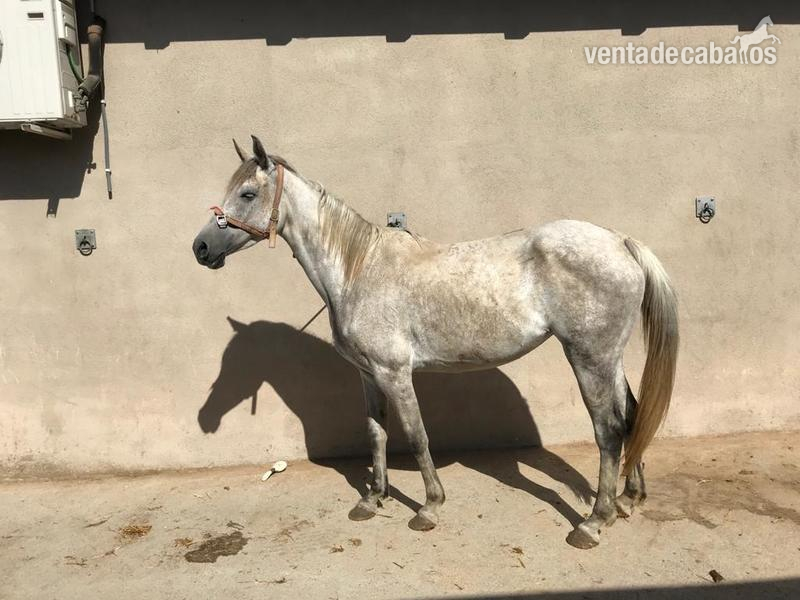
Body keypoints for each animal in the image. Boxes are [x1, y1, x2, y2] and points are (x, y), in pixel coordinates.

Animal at [192, 136, 679, 549]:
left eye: (247, 195)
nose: (200, 248)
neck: (357, 270)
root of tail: (620, 241)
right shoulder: (368, 375)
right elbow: (376, 433)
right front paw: (373, 499)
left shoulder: (395, 373)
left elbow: (416, 434)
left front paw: (429, 507)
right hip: (609, 358)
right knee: (631, 415)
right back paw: (629, 499)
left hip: (588, 357)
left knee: (609, 430)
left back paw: (594, 521)